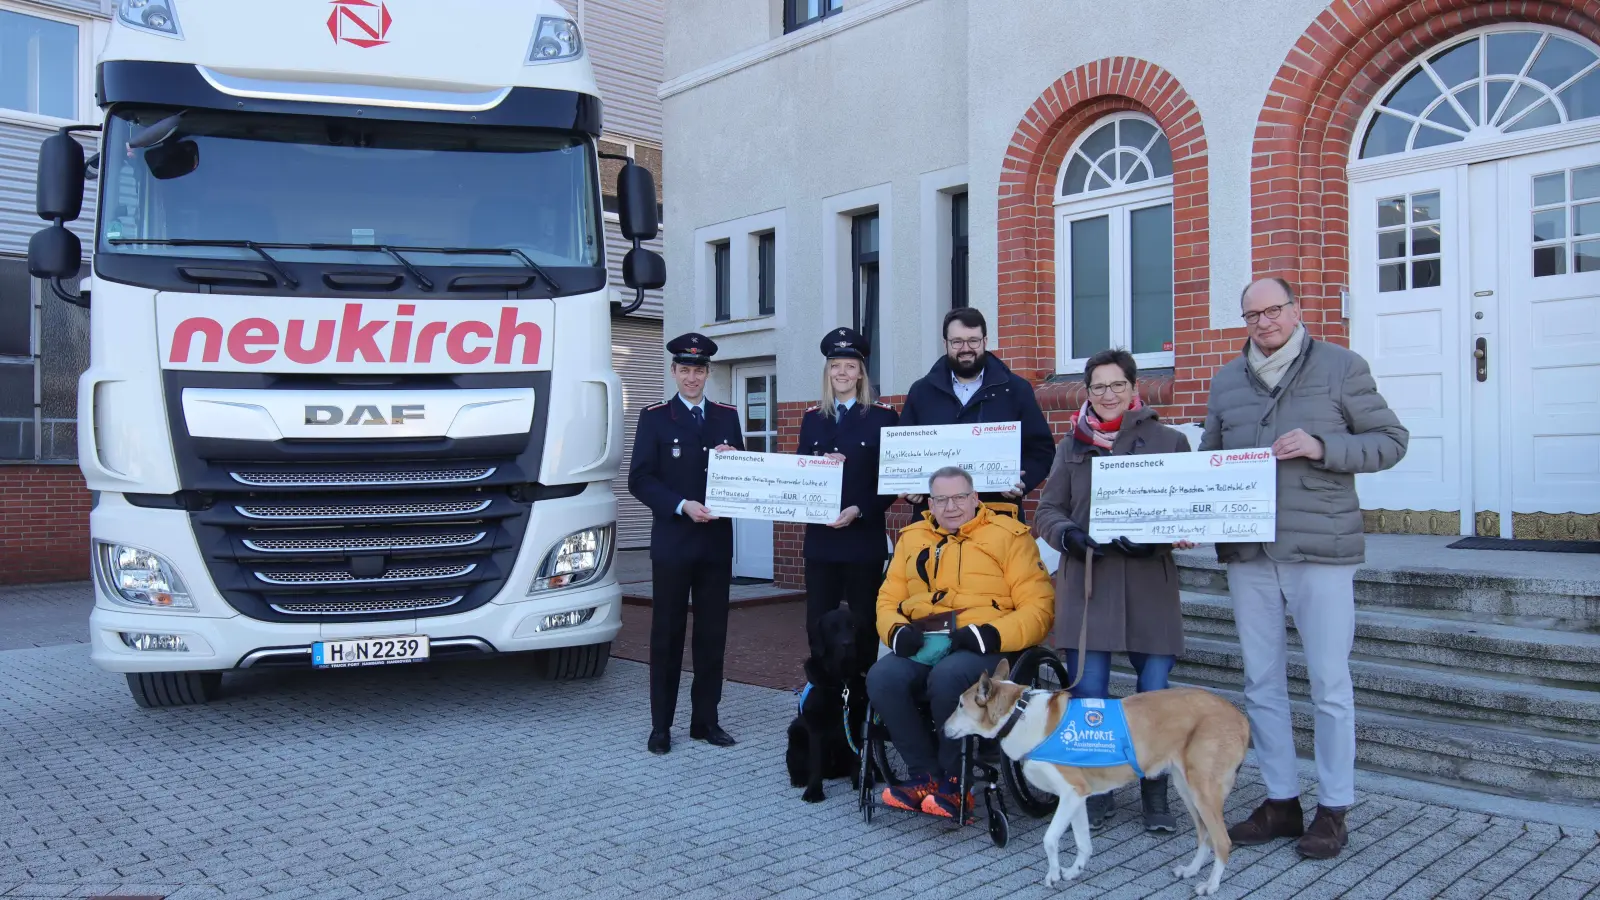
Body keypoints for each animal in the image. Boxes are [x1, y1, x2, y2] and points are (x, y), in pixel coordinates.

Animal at [784, 605, 870, 800]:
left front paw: (860, 782)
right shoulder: (816, 727)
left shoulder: (859, 720)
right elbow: (816, 762)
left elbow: (859, 756)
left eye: (853, 626)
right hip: (796, 731)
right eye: (833, 628)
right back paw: (799, 779)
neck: (842, 684)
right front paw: (814, 791)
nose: (847, 643)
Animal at [940, 656, 1254, 890]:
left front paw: (1053, 875)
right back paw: (1190, 871)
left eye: (960, 705)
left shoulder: (1069, 793)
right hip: (1186, 788)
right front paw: (1073, 871)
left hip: (1203, 792)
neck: (1018, 714)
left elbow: (1050, 839)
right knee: (1205, 836)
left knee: (1222, 841)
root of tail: (1239, 716)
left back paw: (1210, 886)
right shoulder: (1078, 795)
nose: (941, 728)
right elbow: (1083, 843)